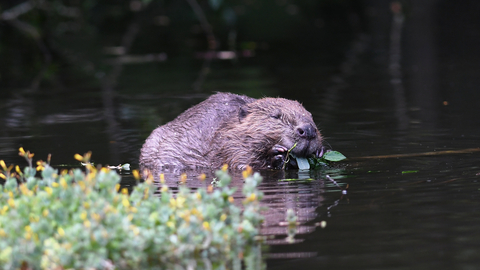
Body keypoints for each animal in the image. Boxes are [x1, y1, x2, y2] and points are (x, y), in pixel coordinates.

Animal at [140, 92, 326, 170]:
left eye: (310, 115)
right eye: (275, 116)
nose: (308, 130)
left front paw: (321, 152)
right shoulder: (229, 145)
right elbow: (242, 164)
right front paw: (277, 154)